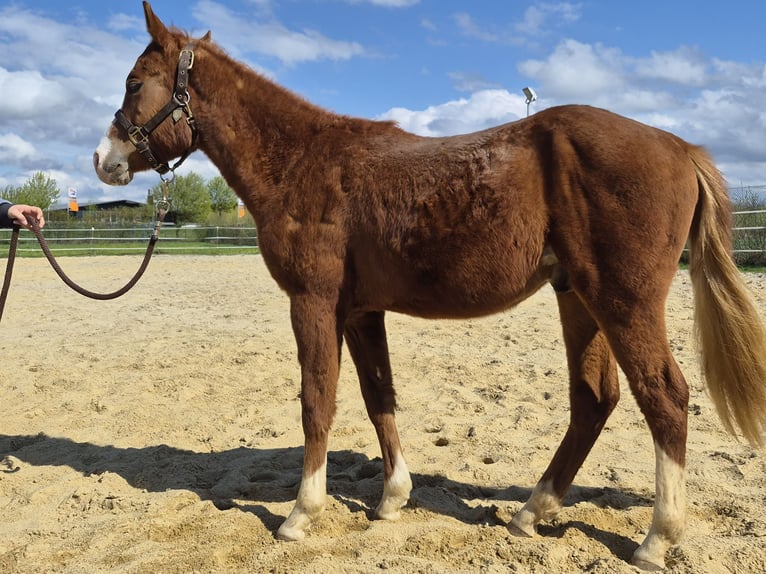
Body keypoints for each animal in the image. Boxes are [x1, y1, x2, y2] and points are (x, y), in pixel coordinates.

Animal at [93, 3, 766, 570]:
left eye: (135, 82)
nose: (104, 160)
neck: (303, 161)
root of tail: (679, 147)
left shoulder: (313, 304)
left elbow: (317, 402)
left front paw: (300, 515)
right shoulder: (360, 312)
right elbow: (378, 398)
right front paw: (392, 499)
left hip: (623, 303)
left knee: (666, 398)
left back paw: (656, 539)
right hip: (579, 298)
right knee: (594, 400)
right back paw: (531, 512)